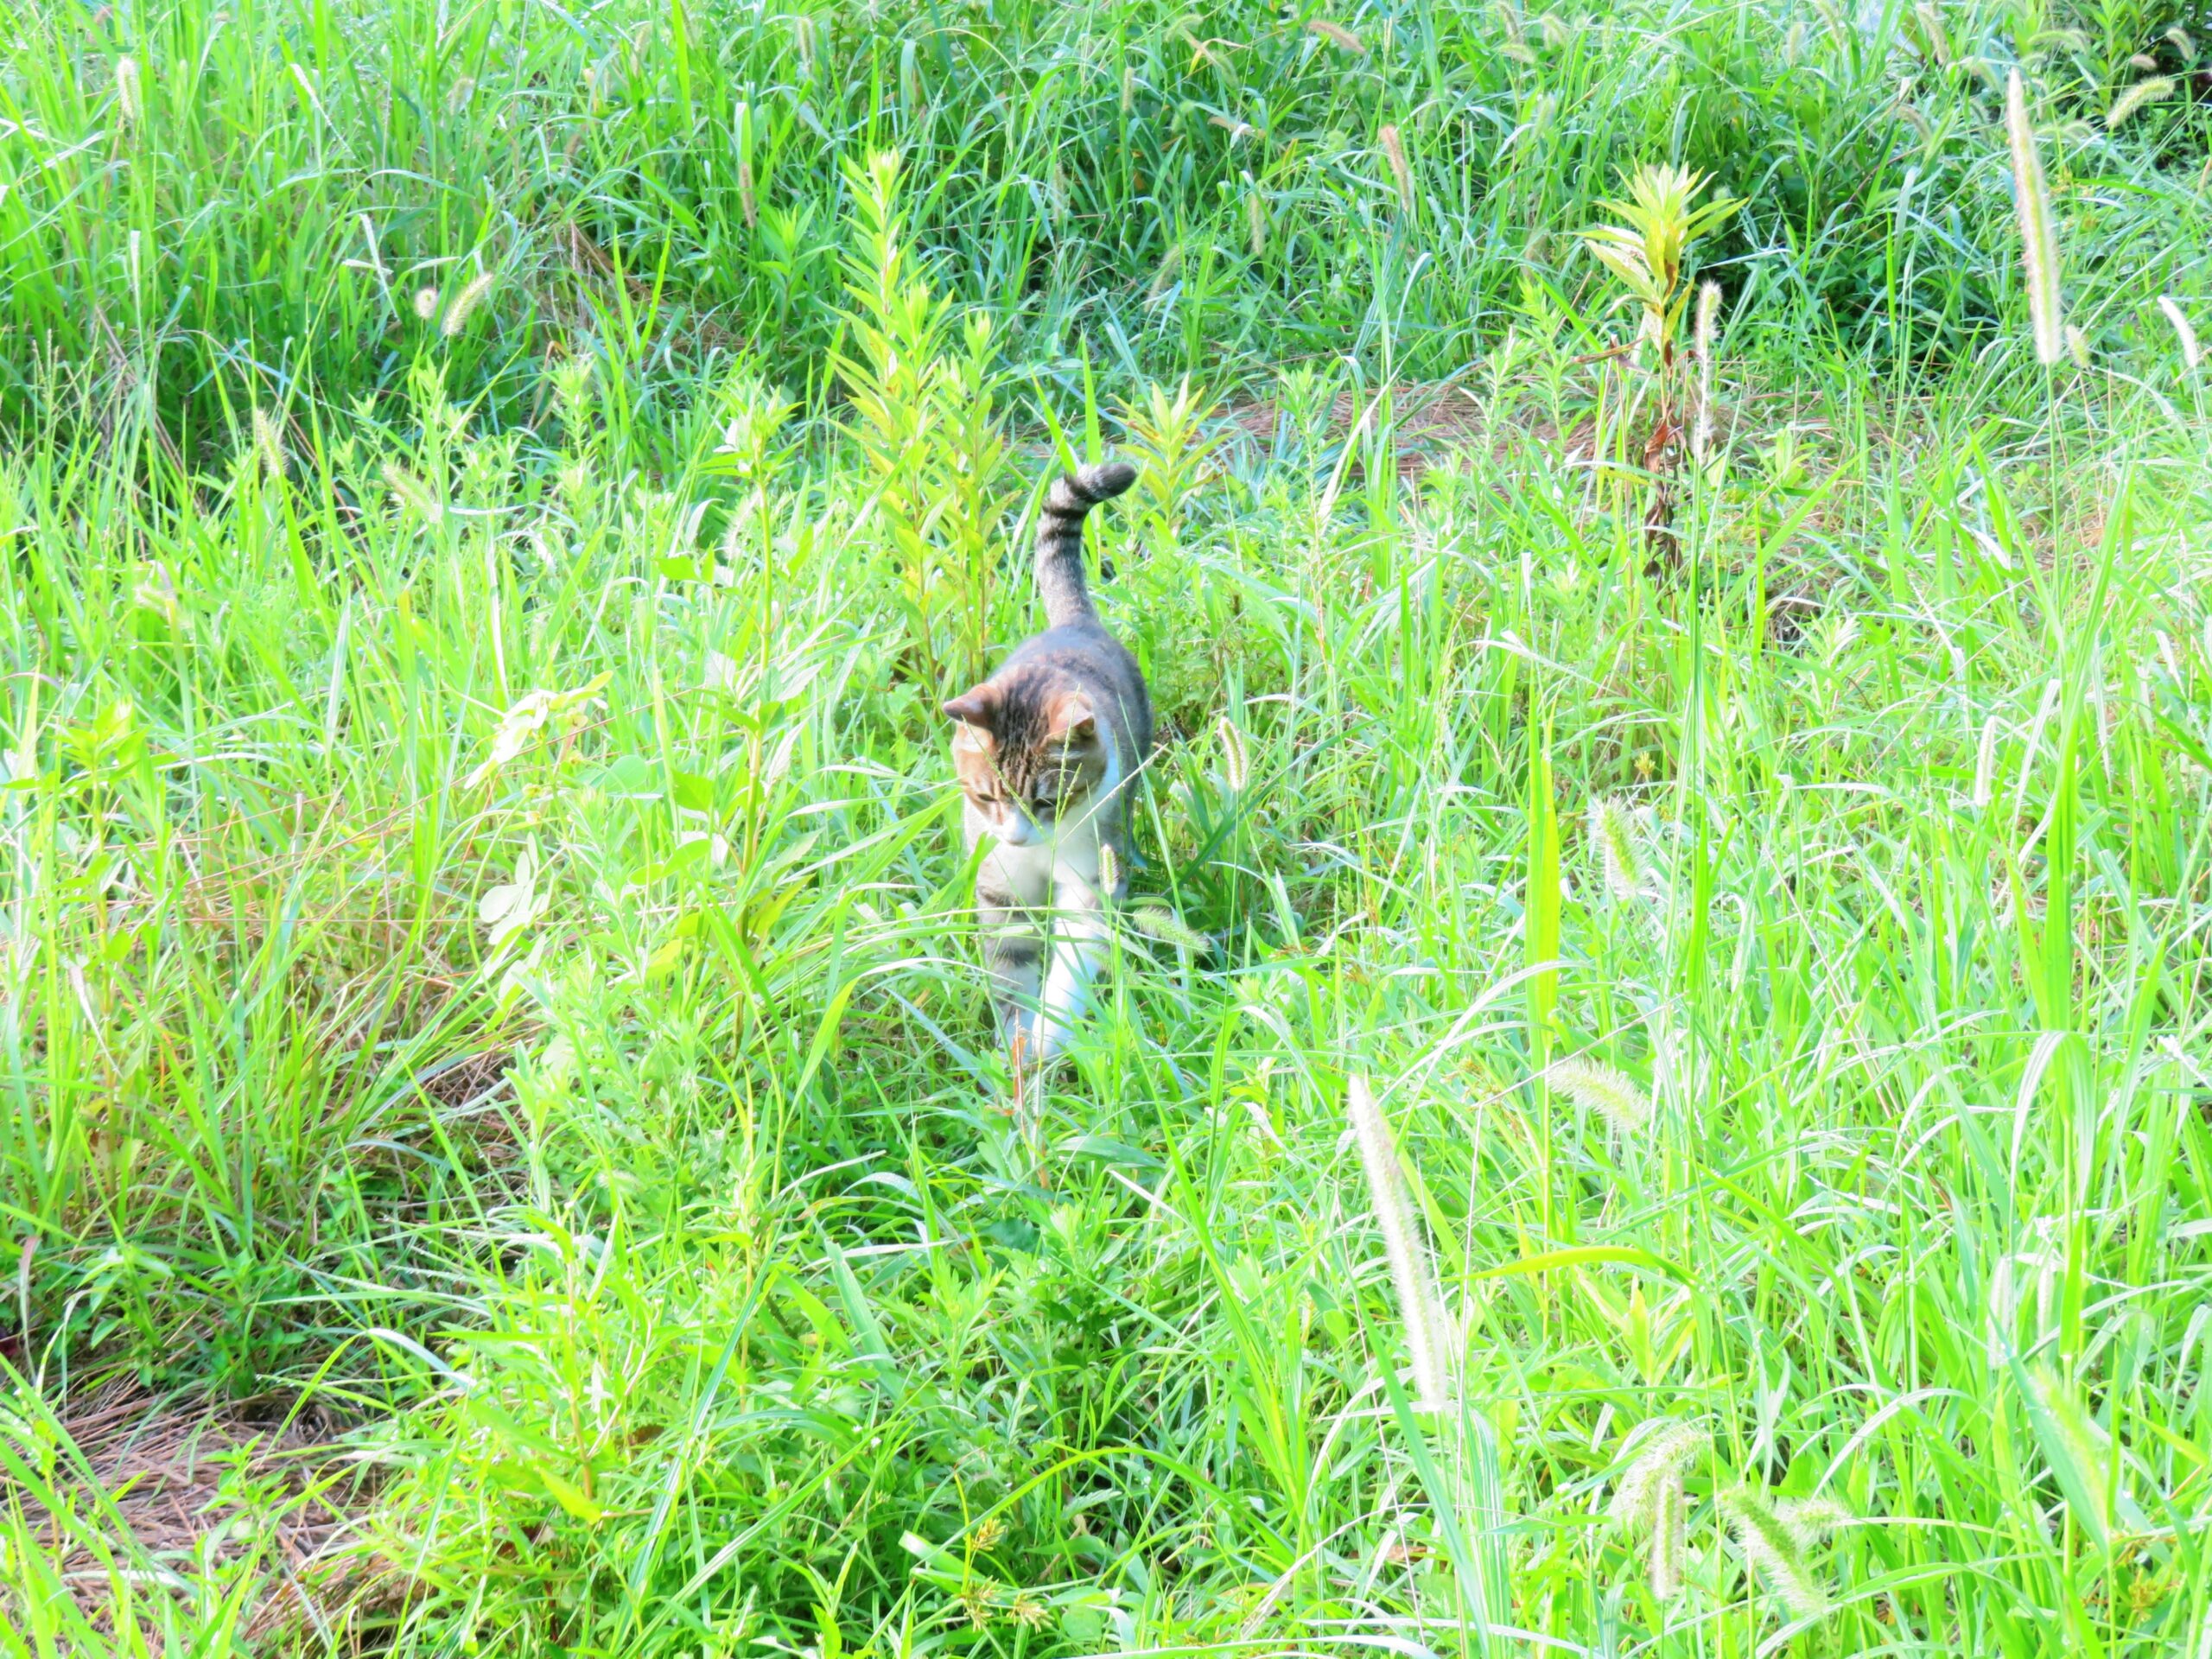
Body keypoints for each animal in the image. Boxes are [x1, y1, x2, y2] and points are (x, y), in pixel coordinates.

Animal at [942, 462, 1150, 1071]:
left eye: (1046, 801)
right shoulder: (1000, 888)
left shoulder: (1092, 880)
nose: (1015, 838)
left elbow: (1073, 964)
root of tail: (1076, 624)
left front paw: (1045, 1040)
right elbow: (1009, 968)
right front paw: (1015, 1045)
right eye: (986, 797)